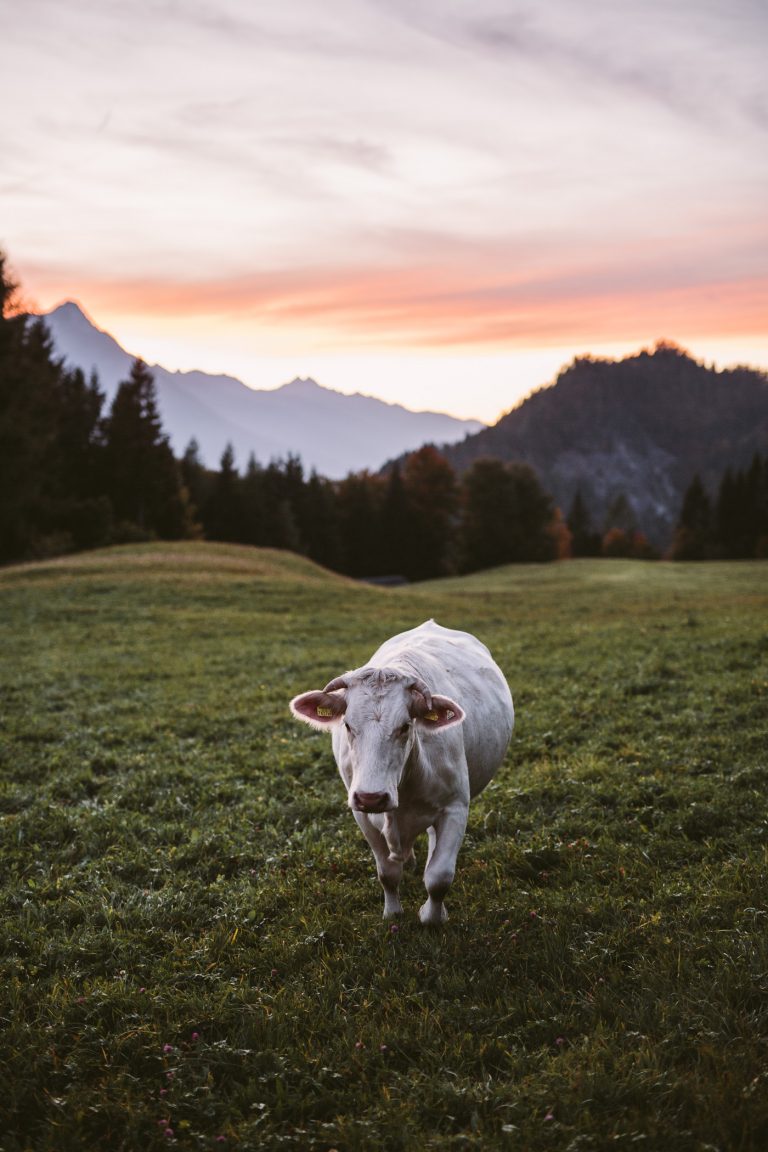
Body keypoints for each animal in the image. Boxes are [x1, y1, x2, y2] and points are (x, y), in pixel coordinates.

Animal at [291, 622, 513, 926]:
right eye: (347, 725)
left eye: (406, 726)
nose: (371, 797)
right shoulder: (362, 815)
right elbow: (387, 873)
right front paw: (392, 912)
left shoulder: (456, 806)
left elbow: (439, 877)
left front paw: (432, 916)